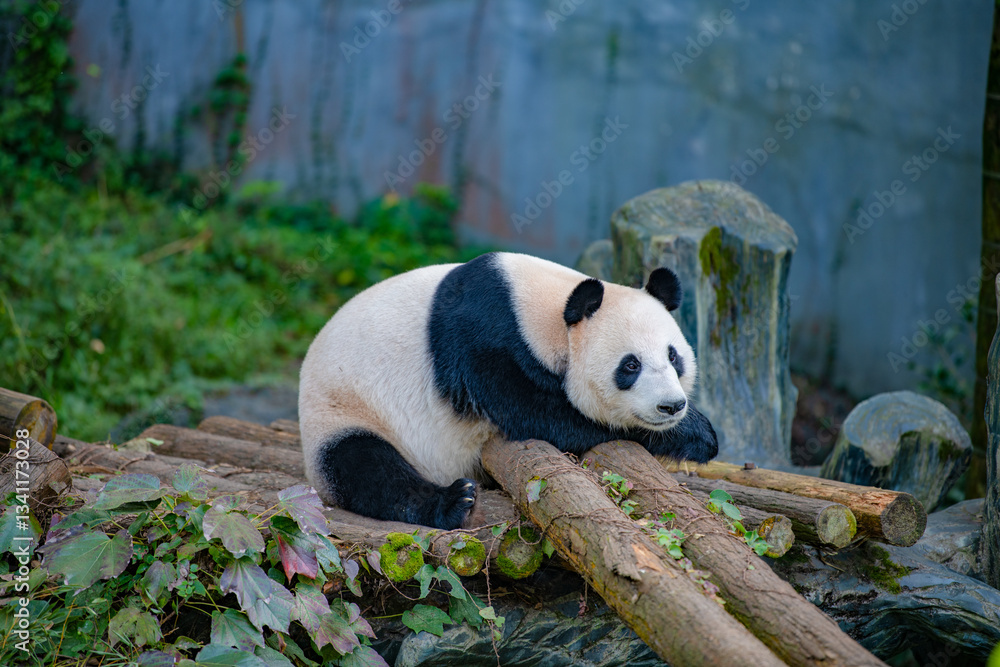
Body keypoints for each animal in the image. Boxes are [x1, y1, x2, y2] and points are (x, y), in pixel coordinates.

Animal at [299, 251, 718, 530]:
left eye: (673, 356)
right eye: (630, 366)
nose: (671, 406)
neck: (539, 307)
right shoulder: (483, 341)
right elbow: (541, 416)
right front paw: (693, 434)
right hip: (343, 410)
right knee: (367, 468)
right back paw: (452, 502)